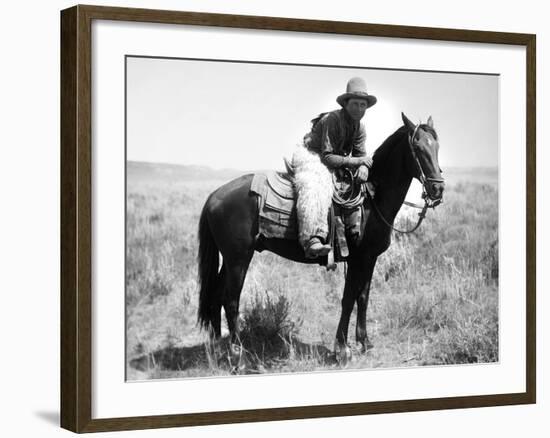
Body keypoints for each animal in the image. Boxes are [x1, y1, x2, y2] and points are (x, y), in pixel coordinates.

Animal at [196, 112, 446, 360]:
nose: (438, 189)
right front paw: (342, 349)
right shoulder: (357, 259)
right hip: (238, 259)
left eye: (437, 146)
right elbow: (348, 299)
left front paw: (365, 342)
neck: (371, 199)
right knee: (231, 300)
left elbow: (363, 297)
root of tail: (214, 195)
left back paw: (219, 347)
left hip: (229, 260)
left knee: (216, 295)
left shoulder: (370, 259)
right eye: (417, 146)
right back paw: (237, 355)